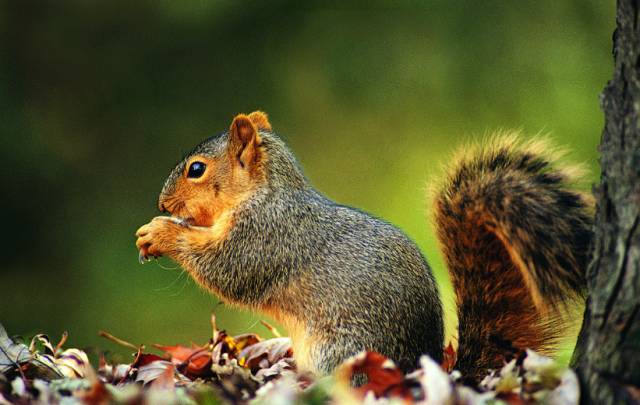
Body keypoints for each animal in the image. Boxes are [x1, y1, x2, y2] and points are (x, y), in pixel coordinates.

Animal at [135, 111, 596, 382]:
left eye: (197, 170)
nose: (161, 203)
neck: (265, 192)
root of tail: (420, 365)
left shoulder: (265, 235)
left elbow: (226, 270)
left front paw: (160, 233)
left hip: (339, 351)